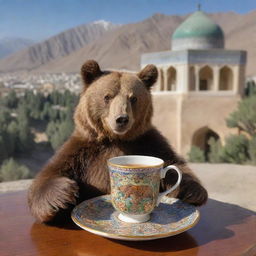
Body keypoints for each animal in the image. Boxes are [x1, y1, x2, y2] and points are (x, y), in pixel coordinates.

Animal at [28, 60, 208, 224]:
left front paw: (193, 192)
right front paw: (61, 198)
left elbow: (175, 163)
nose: (121, 119)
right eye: (107, 96)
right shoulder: (83, 150)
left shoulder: (148, 143)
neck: (115, 138)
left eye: (133, 98)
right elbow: (51, 172)